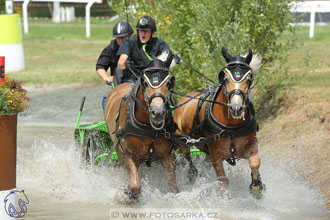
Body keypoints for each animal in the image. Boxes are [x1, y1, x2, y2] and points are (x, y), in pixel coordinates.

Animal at [104, 52, 179, 198]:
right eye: (144, 82)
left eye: (169, 83)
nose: (157, 112)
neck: (149, 128)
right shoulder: (129, 155)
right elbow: (135, 186)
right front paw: (129, 191)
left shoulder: (168, 155)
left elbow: (174, 188)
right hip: (119, 151)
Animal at [174, 47, 264, 198]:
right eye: (225, 78)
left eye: (249, 78)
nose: (236, 108)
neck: (231, 126)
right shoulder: (216, 155)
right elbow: (223, 181)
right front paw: (226, 198)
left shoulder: (249, 144)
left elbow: (255, 161)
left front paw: (256, 185)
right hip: (181, 140)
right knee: (186, 155)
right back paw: (192, 173)